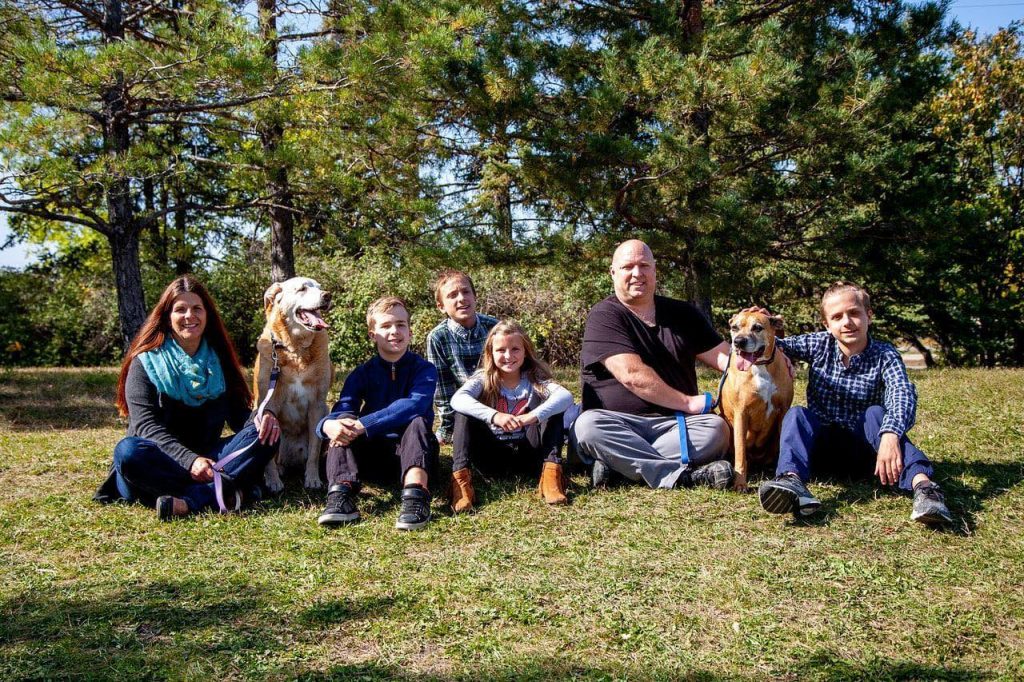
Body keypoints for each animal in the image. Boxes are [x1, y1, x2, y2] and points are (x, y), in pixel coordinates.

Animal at [253, 274, 333, 491]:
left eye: (320, 287)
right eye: (302, 289)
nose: (328, 295)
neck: (296, 349)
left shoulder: (317, 405)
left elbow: (314, 450)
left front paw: (313, 478)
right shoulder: (267, 407)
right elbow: (267, 454)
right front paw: (273, 481)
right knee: (275, 458)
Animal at [720, 311, 790, 491]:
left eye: (757, 327)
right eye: (734, 327)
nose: (738, 342)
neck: (760, 366)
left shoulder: (783, 411)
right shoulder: (741, 414)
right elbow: (740, 453)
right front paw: (740, 484)